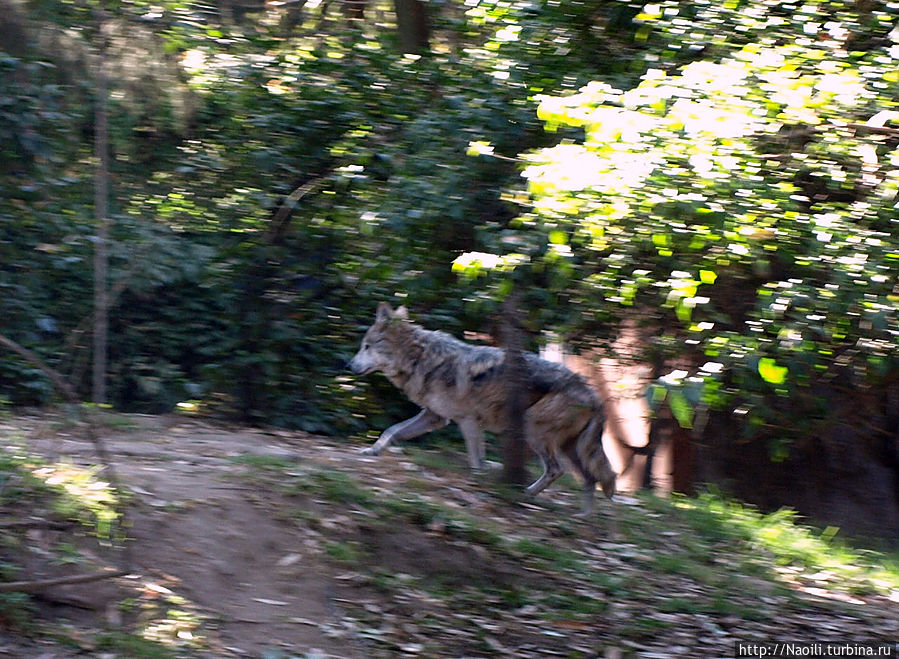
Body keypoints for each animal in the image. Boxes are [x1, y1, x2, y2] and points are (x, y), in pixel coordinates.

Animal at [348, 302, 616, 512]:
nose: (348, 365)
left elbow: (477, 461)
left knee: (558, 471)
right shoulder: (434, 417)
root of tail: (594, 395)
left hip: (535, 432)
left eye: (367, 346)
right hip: (570, 447)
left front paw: (478, 483)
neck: (420, 358)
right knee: (591, 479)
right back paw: (582, 517)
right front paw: (372, 451)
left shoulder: (468, 421)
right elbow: (391, 431)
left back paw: (529, 495)